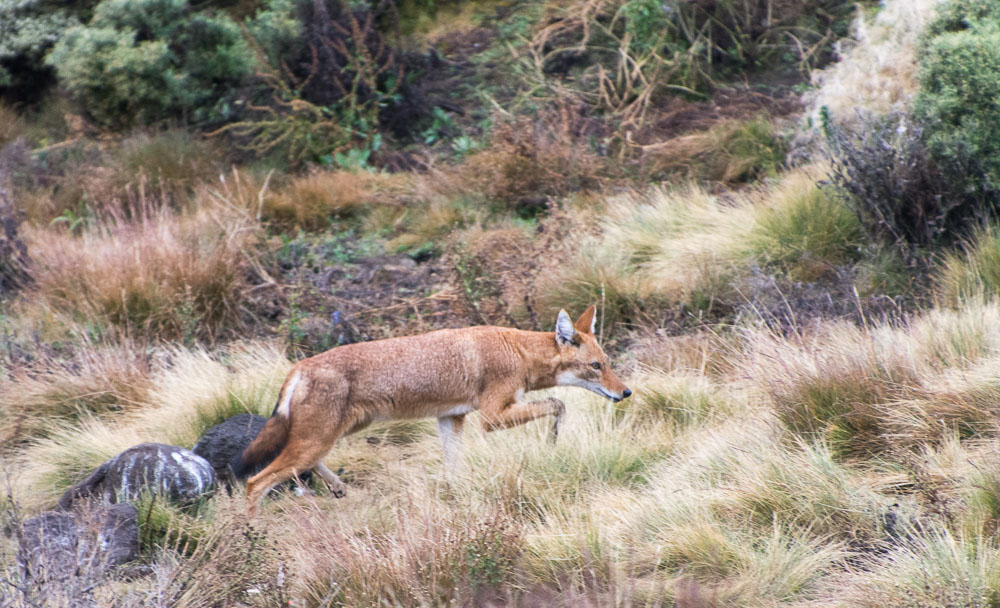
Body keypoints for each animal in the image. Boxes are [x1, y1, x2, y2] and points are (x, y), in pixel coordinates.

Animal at [232, 305, 631, 515]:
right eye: (596, 366)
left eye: (608, 363)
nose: (626, 392)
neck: (517, 351)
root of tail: (299, 366)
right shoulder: (491, 417)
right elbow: (558, 403)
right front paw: (554, 439)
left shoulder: (450, 419)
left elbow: (454, 471)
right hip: (318, 439)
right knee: (255, 483)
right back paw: (252, 537)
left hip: (332, 435)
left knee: (302, 466)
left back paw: (338, 488)